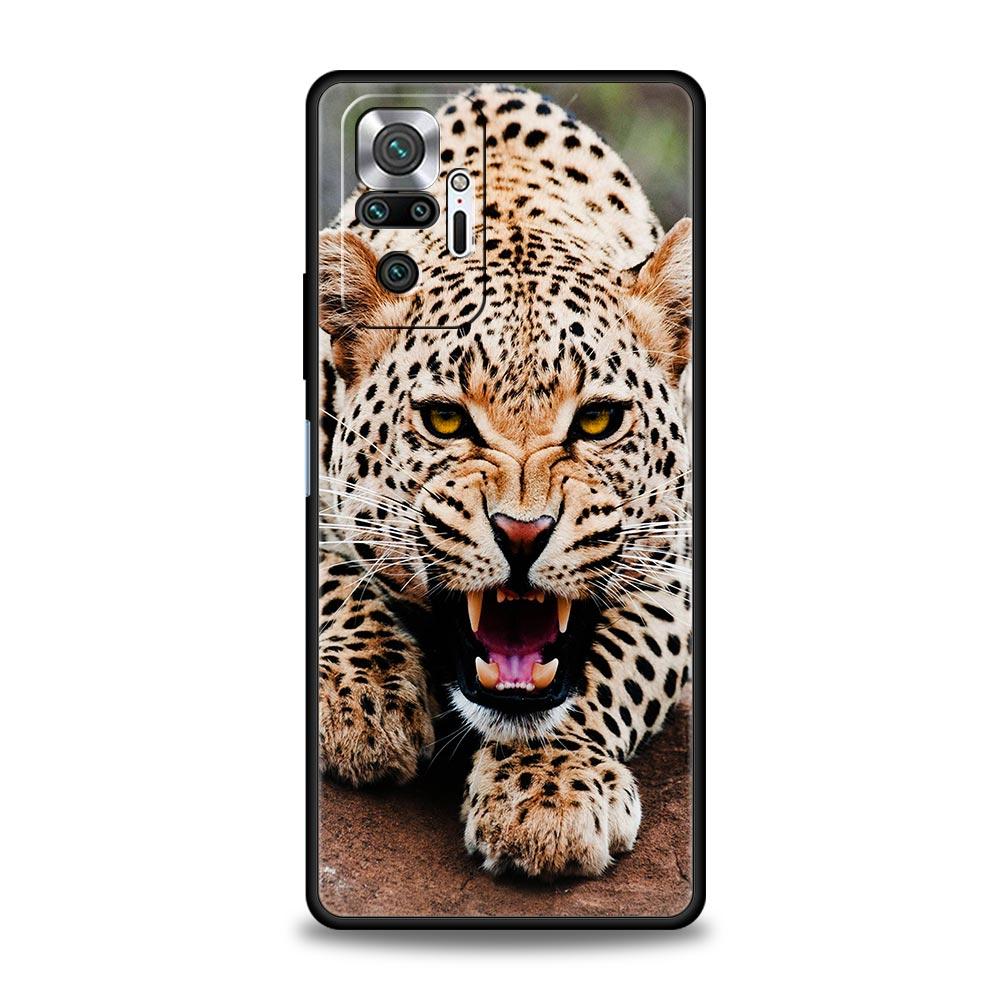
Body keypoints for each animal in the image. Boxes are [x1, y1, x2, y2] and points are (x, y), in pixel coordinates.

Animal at [317, 83, 693, 879]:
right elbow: (334, 580)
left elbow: (608, 668)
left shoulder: (674, 565)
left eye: (599, 421)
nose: (524, 534)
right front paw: (365, 701)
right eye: (445, 421)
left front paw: (547, 792)